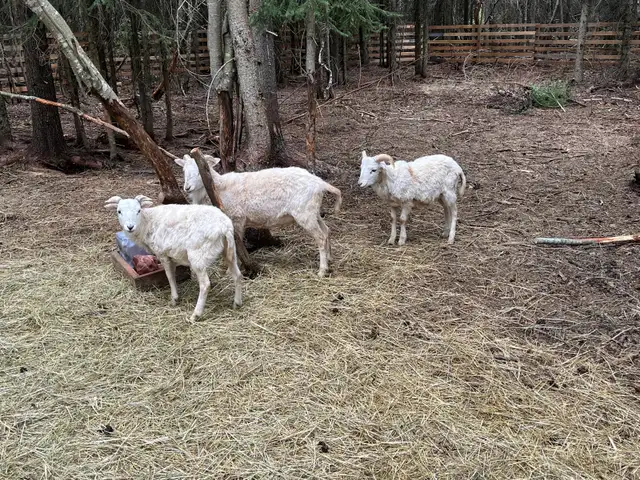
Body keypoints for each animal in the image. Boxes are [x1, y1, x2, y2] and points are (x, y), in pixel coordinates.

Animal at [104, 195, 243, 321]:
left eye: (138, 210)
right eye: (119, 211)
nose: (130, 227)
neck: (146, 223)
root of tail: (225, 227)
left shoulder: (162, 254)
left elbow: (169, 276)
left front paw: (174, 298)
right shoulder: (173, 255)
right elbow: (174, 274)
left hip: (198, 255)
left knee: (205, 285)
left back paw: (196, 314)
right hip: (230, 251)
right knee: (237, 275)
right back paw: (237, 303)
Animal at [174, 154, 343, 277]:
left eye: (199, 171)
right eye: (184, 171)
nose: (187, 187)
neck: (217, 188)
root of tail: (320, 183)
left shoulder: (237, 218)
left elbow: (235, 245)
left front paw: (231, 269)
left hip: (305, 212)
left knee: (320, 237)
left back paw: (322, 270)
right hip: (313, 211)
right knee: (326, 231)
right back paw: (329, 259)